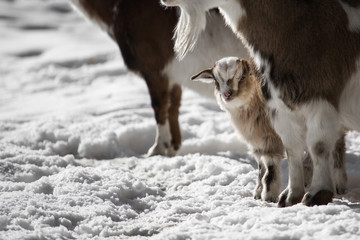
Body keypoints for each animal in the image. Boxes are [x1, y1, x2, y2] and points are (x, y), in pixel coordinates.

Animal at [68, 0, 248, 157]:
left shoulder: (154, 68)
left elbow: (159, 105)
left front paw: (158, 148)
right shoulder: (173, 77)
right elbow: (173, 106)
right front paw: (173, 147)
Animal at [191, 57, 284, 202]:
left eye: (242, 76)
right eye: (216, 80)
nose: (227, 94)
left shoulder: (272, 139)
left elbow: (270, 167)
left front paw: (269, 195)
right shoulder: (258, 142)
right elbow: (261, 167)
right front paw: (257, 193)